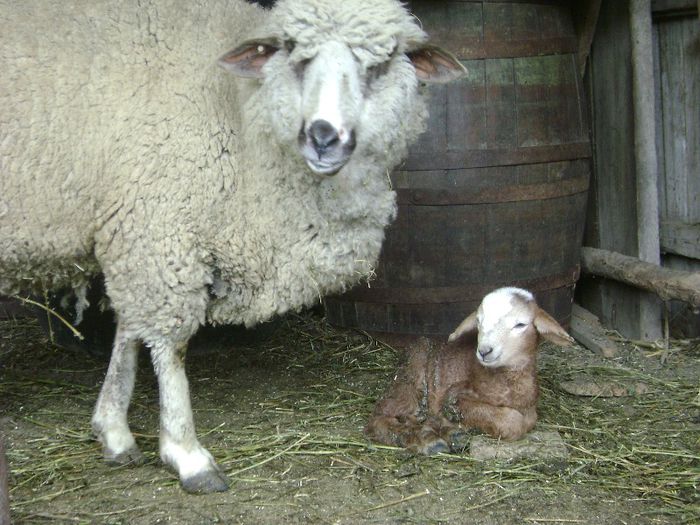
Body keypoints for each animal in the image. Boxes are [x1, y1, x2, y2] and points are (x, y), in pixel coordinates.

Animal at [1, 0, 470, 492]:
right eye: (293, 54)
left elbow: (128, 331)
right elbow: (169, 344)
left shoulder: (136, 232)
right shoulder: (160, 224)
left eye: (381, 64)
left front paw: (113, 430)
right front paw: (186, 453)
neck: (245, 122)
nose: (323, 136)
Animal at [366, 286, 576, 454]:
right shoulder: (455, 397)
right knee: (380, 417)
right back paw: (426, 440)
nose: (484, 351)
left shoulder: (530, 407)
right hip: (411, 380)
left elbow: (529, 420)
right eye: (479, 321)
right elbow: (512, 422)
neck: (507, 385)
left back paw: (450, 434)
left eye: (520, 324)